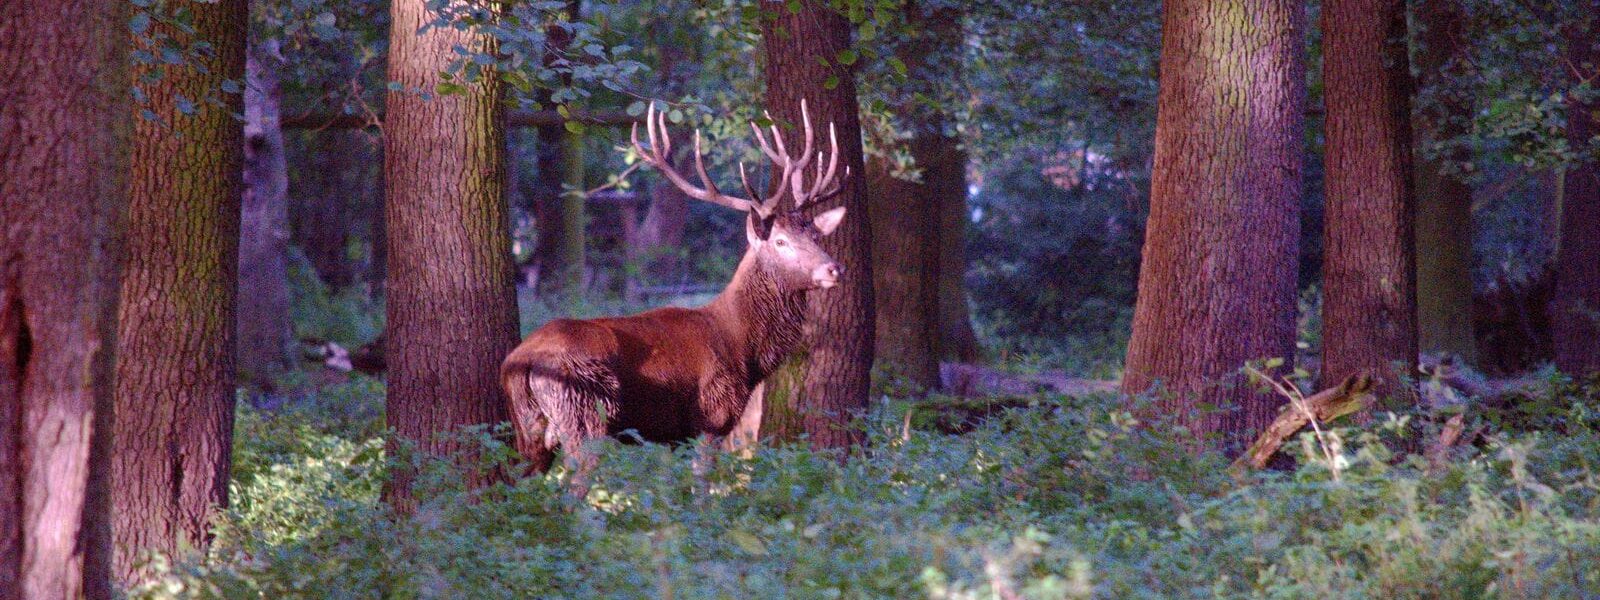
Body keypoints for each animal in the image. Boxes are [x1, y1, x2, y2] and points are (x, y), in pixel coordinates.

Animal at [500, 100, 851, 474]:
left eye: (815, 236)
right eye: (781, 241)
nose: (834, 268)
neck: (743, 349)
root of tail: (518, 362)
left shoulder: (674, 437)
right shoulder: (712, 416)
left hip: (529, 429)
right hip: (583, 412)